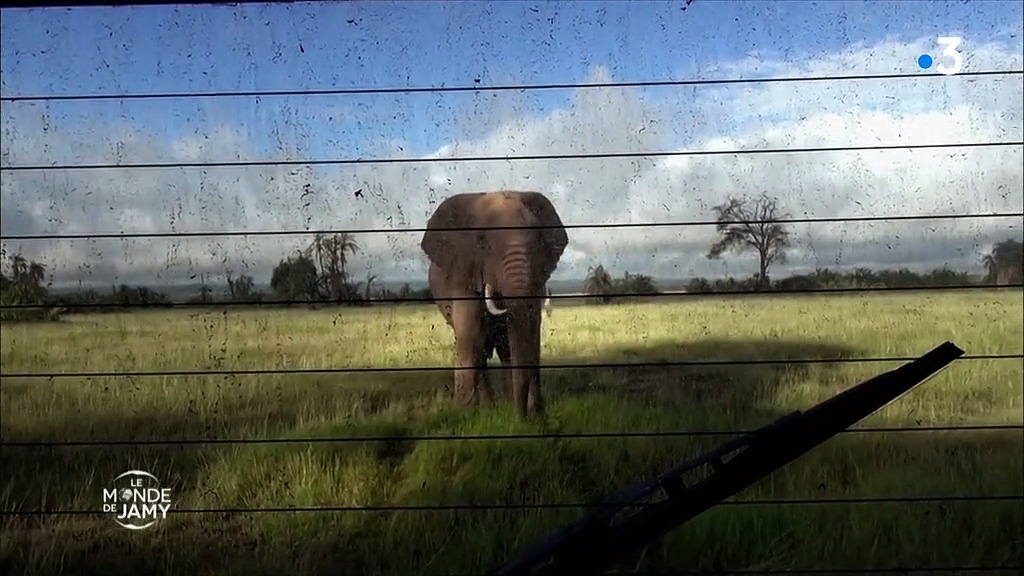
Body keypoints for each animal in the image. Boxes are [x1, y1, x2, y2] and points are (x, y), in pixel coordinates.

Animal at [419, 190, 573, 414]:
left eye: (537, 242)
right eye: (483, 243)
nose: (525, 417)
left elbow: (528, 332)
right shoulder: (464, 274)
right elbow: (472, 332)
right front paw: (464, 414)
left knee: (502, 346)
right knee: (480, 345)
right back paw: (487, 407)